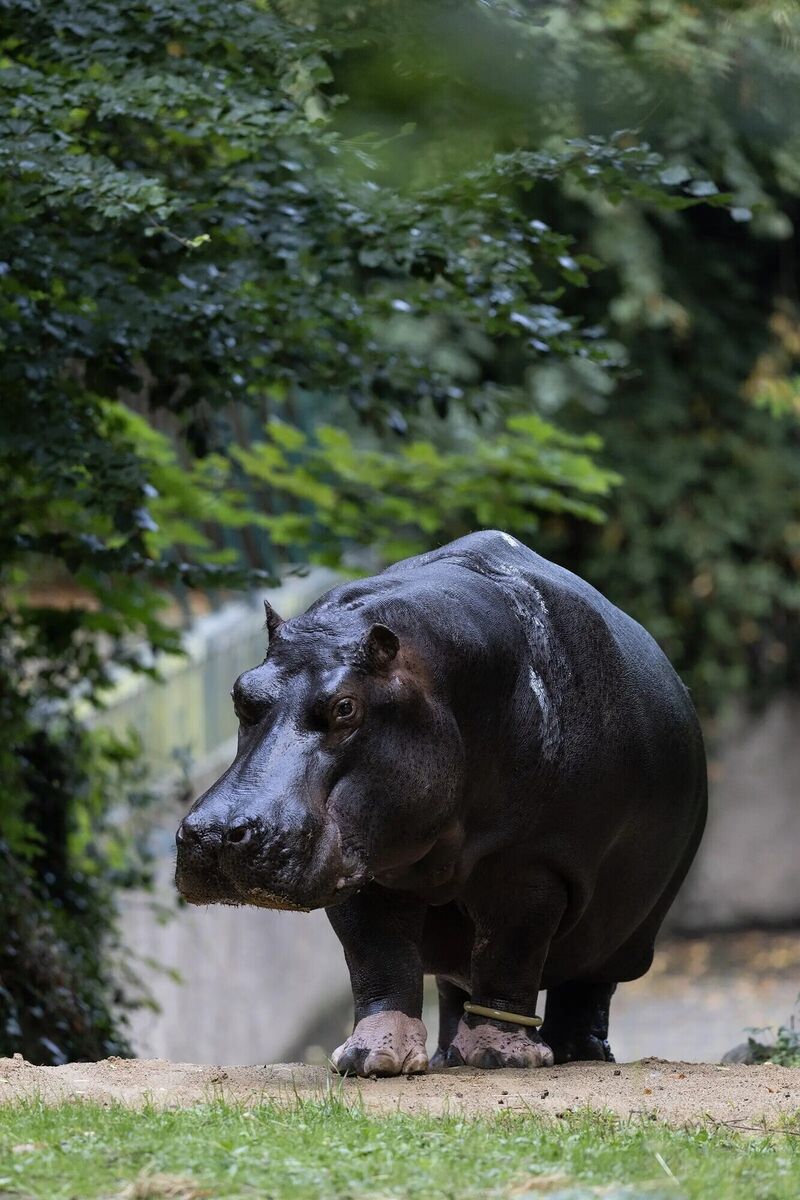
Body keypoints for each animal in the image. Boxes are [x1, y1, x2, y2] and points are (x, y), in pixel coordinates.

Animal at [175, 531, 706, 1075]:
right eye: (240, 692)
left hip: (624, 929)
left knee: (583, 985)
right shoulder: (365, 859)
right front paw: (369, 1059)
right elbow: (378, 957)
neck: (439, 676)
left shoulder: (531, 867)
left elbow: (509, 952)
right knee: (456, 984)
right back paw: (450, 1055)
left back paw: (577, 1054)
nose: (217, 834)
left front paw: (502, 1056)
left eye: (345, 706)